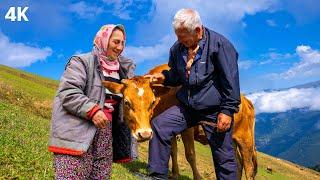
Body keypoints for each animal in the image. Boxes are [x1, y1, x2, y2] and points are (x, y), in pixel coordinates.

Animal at [102, 64, 258, 179]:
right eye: (127, 102)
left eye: (152, 102)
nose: (144, 134)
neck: (164, 99)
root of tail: (246, 100)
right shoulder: (168, 128)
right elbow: (173, 151)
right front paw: (175, 174)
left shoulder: (186, 128)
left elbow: (190, 154)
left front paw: (197, 177)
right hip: (231, 139)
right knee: (237, 164)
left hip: (246, 139)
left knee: (248, 167)